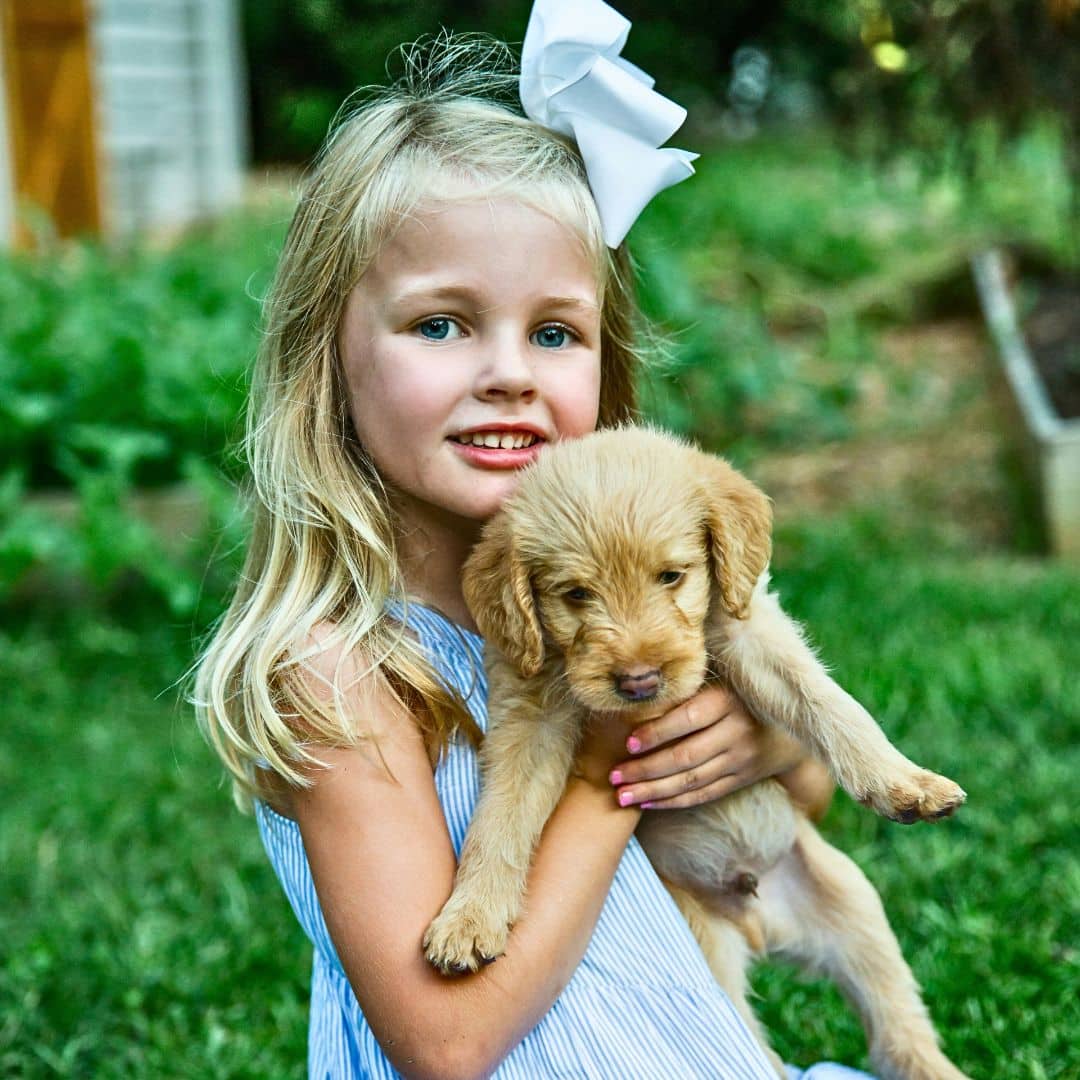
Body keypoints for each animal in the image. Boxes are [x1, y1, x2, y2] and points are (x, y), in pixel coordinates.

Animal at [423, 427, 972, 1080]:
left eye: (671, 576)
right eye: (576, 594)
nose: (638, 681)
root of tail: (762, 923)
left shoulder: (750, 630)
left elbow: (831, 704)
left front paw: (904, 781)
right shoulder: (530, 713)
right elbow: (499, 819)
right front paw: (469, 917)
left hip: (858, 912)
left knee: (897, 1029)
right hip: (712, 960)